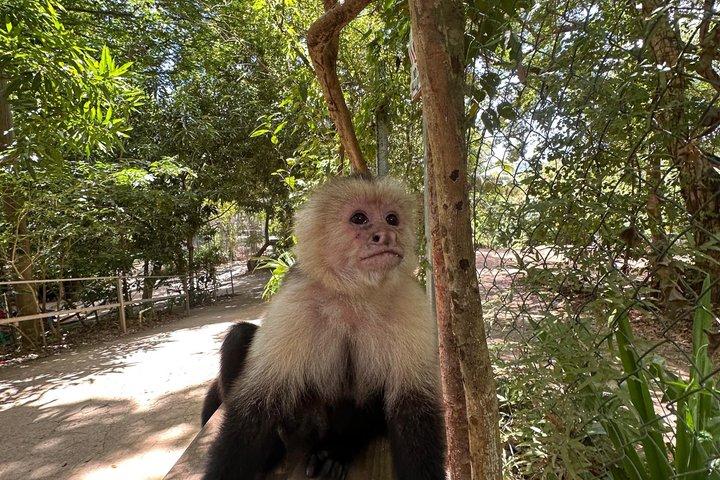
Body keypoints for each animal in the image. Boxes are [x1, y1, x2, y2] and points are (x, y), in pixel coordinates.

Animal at [202, 174, 446, 480]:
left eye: (392, 219)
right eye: (359, 218)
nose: (387, 235)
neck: (354, 297)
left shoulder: (410, 302)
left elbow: (414, 408)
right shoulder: (295, 302)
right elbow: (257, 403)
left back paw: (339, 448)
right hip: (300, 422)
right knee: (239, 336)